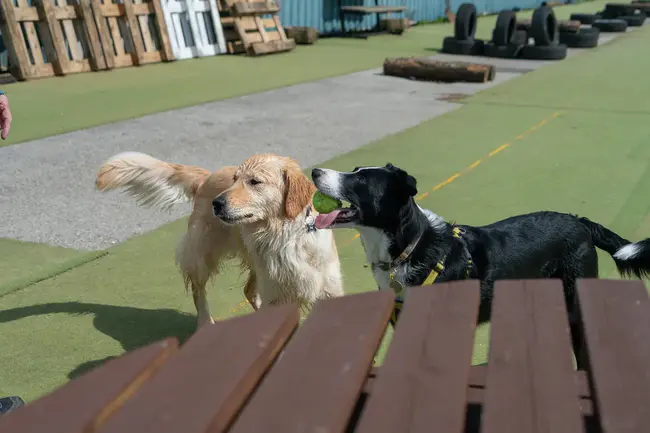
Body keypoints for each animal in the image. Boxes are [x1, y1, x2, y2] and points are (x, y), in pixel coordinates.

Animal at [96, 154, 344, 326]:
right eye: (235, 180)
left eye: (255, 181)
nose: (217, 203)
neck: (286, 234)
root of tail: (206, 177)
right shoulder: (276, 293)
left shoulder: (329, 288)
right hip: (202, 255)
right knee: (199, 292)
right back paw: (206, 323)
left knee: (248, 290)